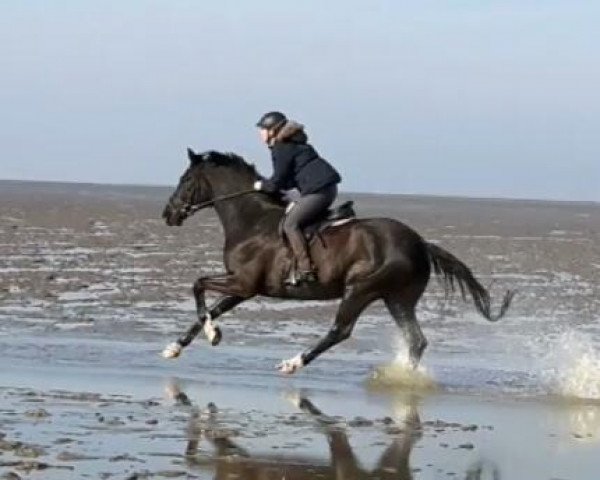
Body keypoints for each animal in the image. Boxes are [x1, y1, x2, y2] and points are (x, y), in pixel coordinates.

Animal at [162, 148, 512, 374]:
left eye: (185, 179)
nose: (168, 214)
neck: (251, 221)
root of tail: (420, 244)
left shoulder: (244, 283)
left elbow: (198, 287)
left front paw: (213, 334)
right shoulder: (243, 288)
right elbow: (210, 307)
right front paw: (177, 346)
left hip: (360, 290)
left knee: (340, 331)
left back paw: (293, 363)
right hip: (397, 298)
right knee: (416, 340)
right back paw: (405, 376)